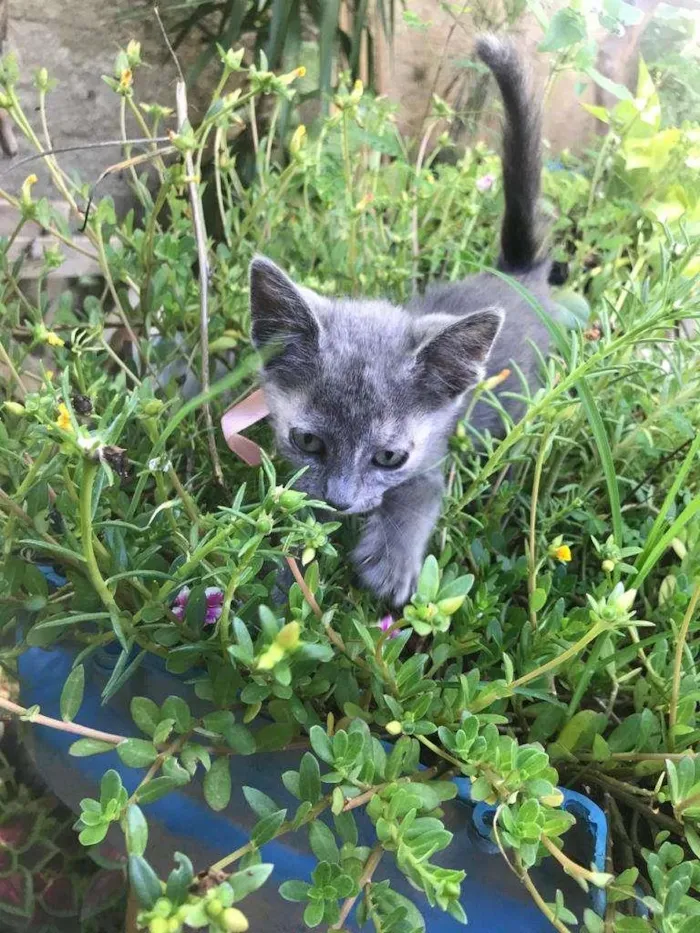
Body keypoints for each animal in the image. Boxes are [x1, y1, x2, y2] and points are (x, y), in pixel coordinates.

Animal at [249, 34, 556, 604]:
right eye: (308, 442)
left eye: (389, 457)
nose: (341, 501)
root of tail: (520, 273)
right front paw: (282, 576)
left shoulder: (434, 455)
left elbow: (420, 494)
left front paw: (391, 562)